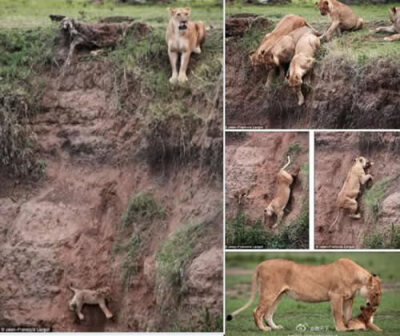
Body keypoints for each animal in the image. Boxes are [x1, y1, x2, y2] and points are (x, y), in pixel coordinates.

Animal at [228, 258, 382, 332]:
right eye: (376, 293)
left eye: (380, 294)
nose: (377, 305)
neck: (357, 281)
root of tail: (261, 264)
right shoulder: (335, 295)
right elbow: (338, 314)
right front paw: (342, 329)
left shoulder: (349, 298)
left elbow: (348, 315)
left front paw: (351, 326)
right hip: (269, 293)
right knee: (258, 311)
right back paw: (263, 329)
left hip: (278, 295)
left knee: (268, 314)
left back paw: (275, 328)